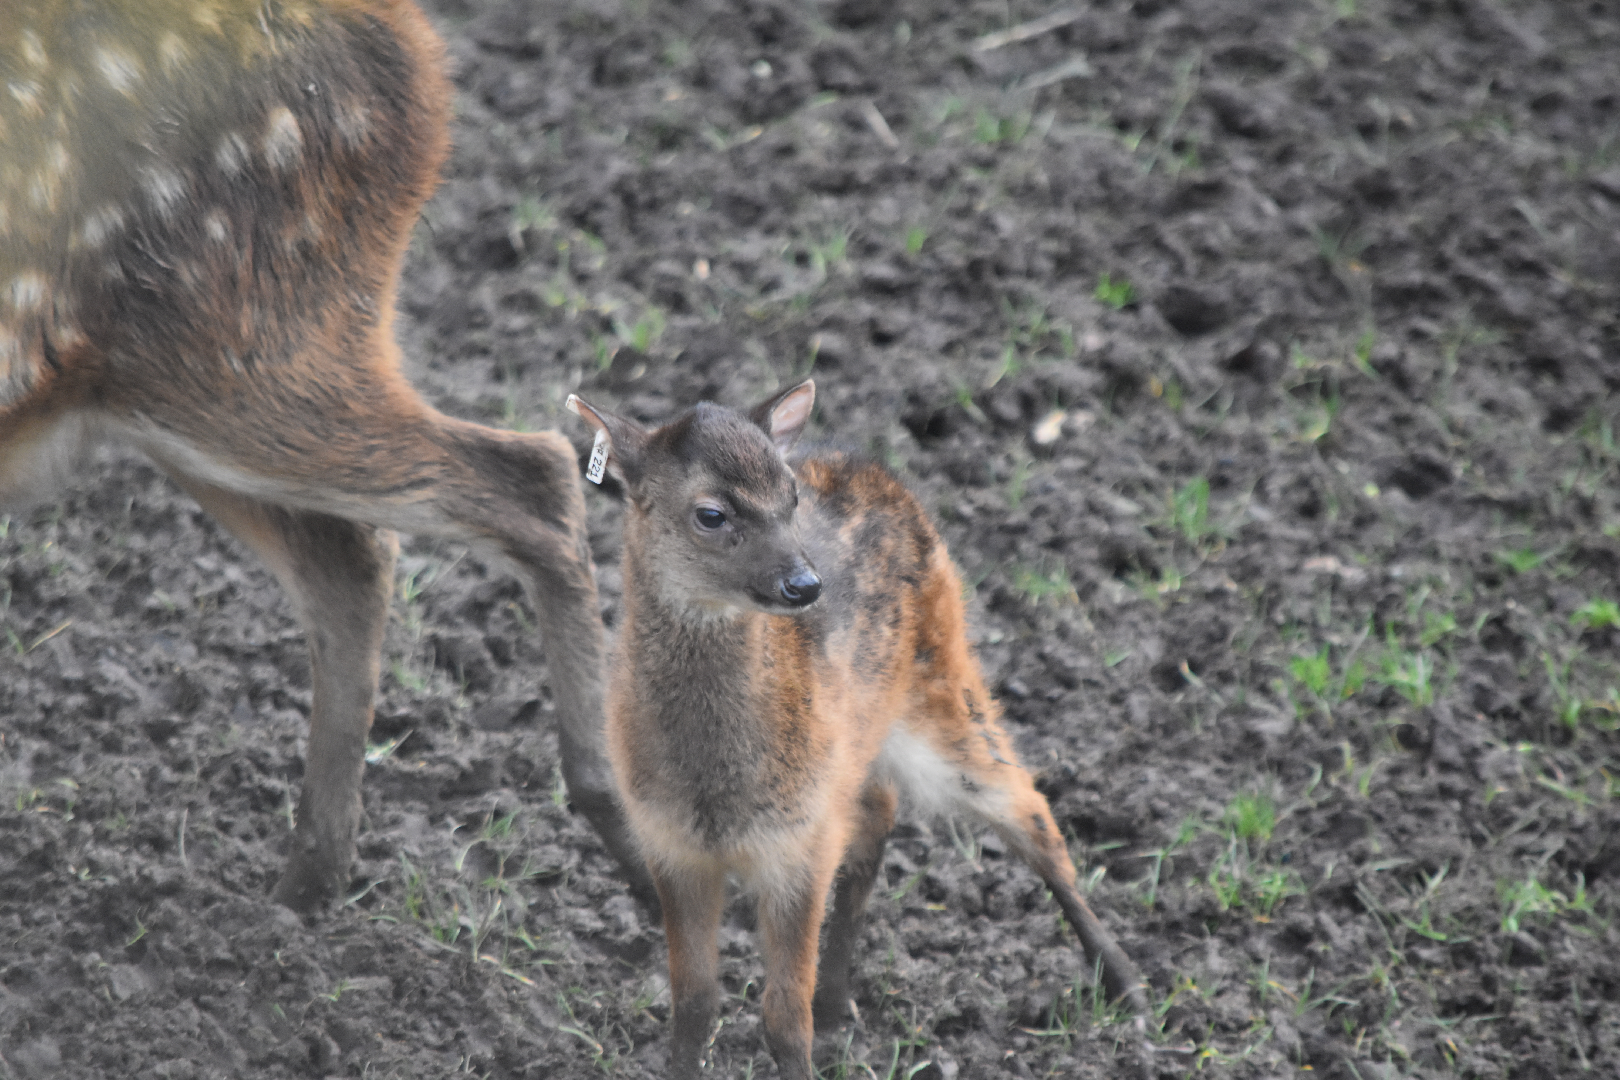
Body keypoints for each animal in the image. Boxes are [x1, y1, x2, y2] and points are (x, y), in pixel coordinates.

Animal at [0, 0, 656, 914]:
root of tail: (417, 51)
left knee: (532, 475)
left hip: (249, 336)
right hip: (180, 379)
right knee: (356, 557)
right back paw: (309, 884)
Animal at [567, 380, 1148, 1080]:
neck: (718, 790)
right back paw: (840, 998)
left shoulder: (801, 845)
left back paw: (1129, 988)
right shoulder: (671, 844)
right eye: (711, 513)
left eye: (790, 497)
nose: (803, 583)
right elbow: (695, 1002)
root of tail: (874, 468)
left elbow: (783, 1015)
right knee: (881, 812)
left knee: (1027, 807)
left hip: (944, 678)